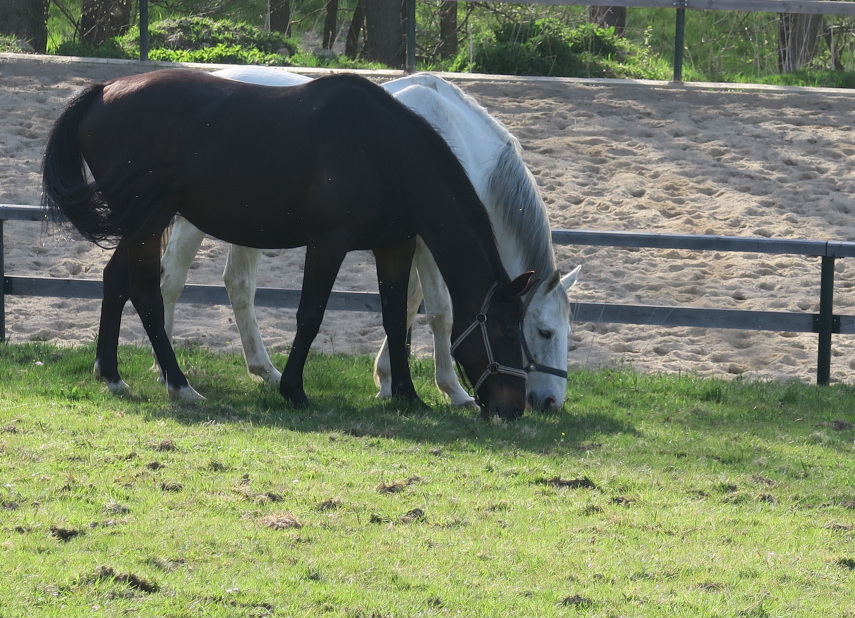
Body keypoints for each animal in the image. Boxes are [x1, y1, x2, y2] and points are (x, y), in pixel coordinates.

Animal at [43, 70, 536, 418]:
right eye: (510, 332)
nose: (515, 408)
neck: (383, 151)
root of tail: (105, 89)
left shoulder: (394, 246)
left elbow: (396, 319)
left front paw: (407, 396)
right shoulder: (328, 244)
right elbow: (310, 316)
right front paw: (294, 390)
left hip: (143, 222)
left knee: (115, 281)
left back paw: (111, 374)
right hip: (147, 221)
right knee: (146, 292)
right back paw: (179, 384)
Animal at [159, 67, 580, 412]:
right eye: (542, 331)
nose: (550, 402)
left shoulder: (407, 241)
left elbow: (405, 308)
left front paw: (392, 381)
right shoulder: (426, 245)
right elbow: (437, 311)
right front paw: (448, 389)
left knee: (239, 285)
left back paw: (266, 371)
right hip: (194, 222)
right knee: (172, 280)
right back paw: (170, 375)